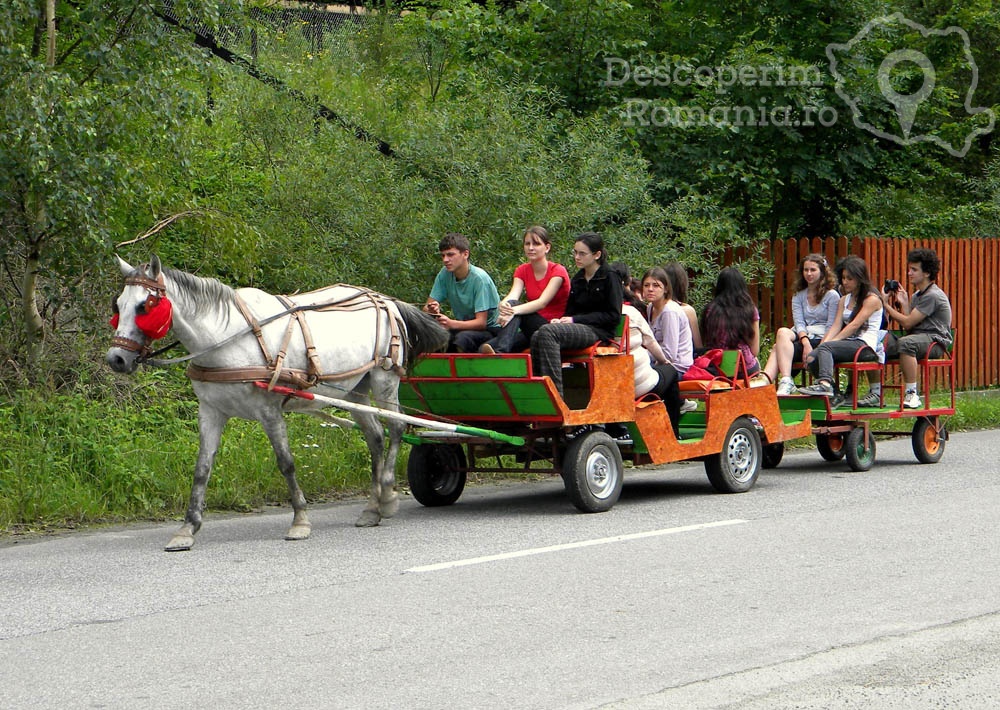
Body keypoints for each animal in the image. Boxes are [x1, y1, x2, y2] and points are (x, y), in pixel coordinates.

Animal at [105, 256, 446, 552]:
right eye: (118, 306)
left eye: (144, 306)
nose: (116, 359)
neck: (228, 339)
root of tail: (386, 300)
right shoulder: (211, 412)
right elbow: (202, 469)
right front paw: (187, 529)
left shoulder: (269, 412)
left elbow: (286, 463)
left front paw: (300, 521)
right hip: (354, 390)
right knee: (375, 436)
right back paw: (372, 509)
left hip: (384, 379)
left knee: (396, 428)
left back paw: (387, 496)